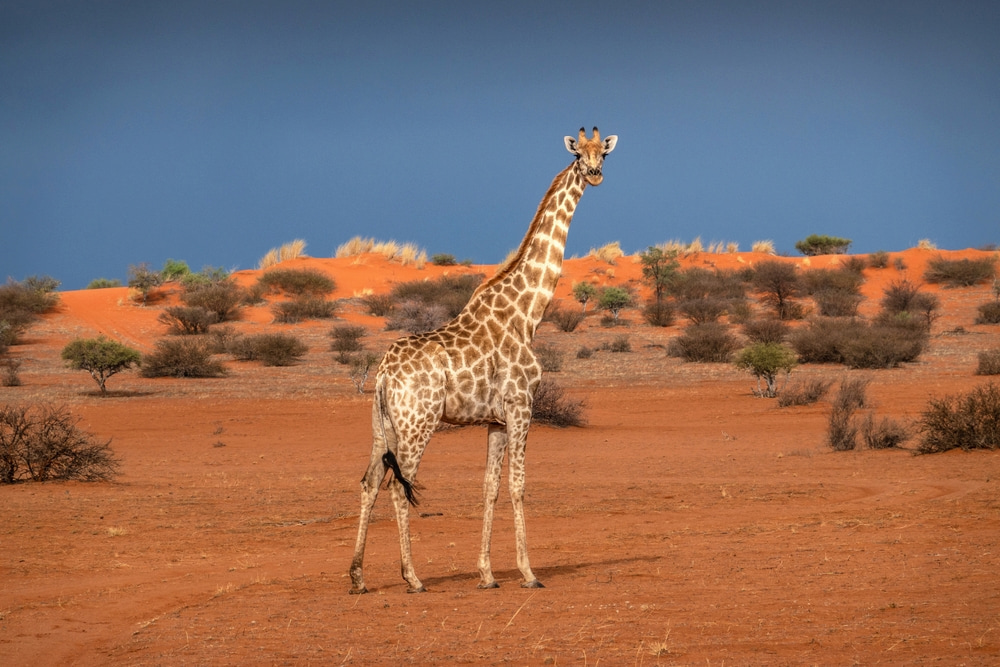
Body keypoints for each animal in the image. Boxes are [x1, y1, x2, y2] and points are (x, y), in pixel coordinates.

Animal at [349, 127, 617, 594]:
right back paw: (412, 578)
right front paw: (528, 573)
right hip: (418, 423)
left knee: (369, 483)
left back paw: (358, 577)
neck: (528, 313)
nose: (596, 173)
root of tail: (382, 375)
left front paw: (487, 574)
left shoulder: (495, 419)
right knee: (400, 486)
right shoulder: (522, 406)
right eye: (578, 155)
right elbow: (518, 485)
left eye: (604, 153)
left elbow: (489, 486)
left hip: (383, 425)